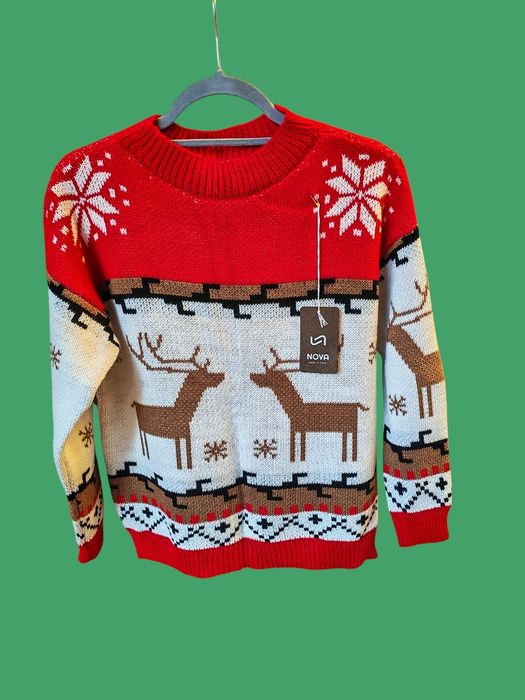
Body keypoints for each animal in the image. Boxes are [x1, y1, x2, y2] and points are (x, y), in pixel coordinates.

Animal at [126, 333, 225, 469]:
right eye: (204, 375)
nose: (222, 375)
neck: (185, 415)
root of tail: (136, 404)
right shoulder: (176, 436)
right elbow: (179, 456)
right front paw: (183, 468)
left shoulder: (186, 436)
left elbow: (187, 456)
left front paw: (187, 467)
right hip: (141, 428)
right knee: (143, 441)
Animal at [386, 278, 444, 419]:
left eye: (394, 331)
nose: (387, 335)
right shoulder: (419, 383)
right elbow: (423, 400)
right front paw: (425, 413)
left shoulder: (425, 383)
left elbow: (426, 400)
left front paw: (426, 415)